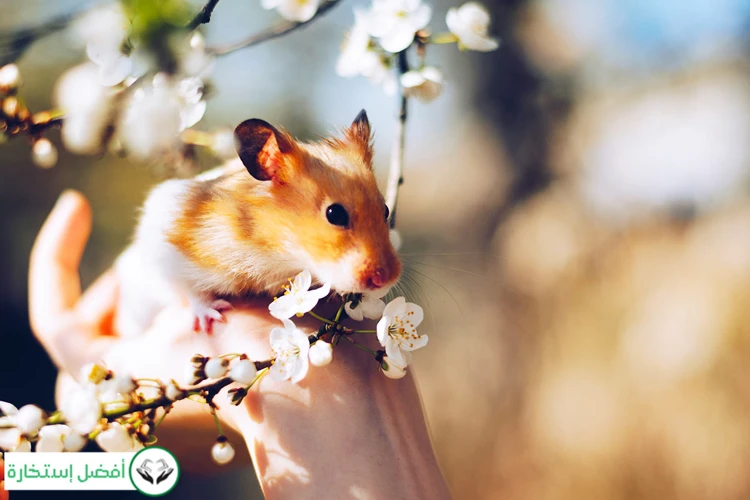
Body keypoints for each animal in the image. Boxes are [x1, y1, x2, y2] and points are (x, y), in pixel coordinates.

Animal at [114, 111, 402, 334]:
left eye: (386, 210)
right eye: (335, 214)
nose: (386, 278)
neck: (275, 251)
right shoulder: (166, 249)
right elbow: (189, 290)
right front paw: (213, 317)